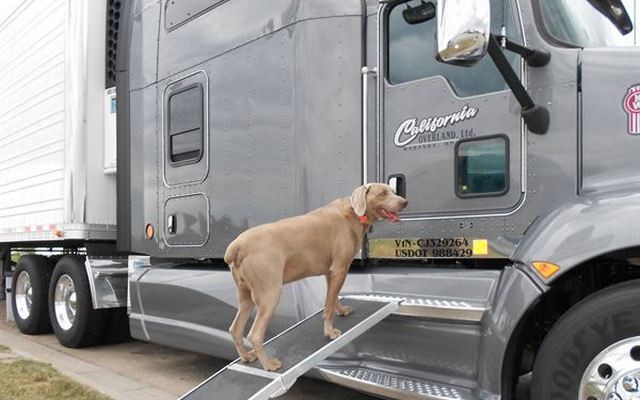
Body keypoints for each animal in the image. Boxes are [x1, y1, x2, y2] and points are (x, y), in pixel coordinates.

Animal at [222, 183, 408, 370]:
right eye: (382, 193)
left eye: (393, 191)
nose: (405, 202)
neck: (354, 213)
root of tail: (236, 246)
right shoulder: (340, 268)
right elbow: (328, 307)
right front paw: (330, 332)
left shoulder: (330, 271)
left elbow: (333, 297)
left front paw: (342, 311)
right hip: (270, 292)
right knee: (254, 334)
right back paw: (269, 364)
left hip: (246, 294)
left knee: (235, 329)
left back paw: (247, 357)